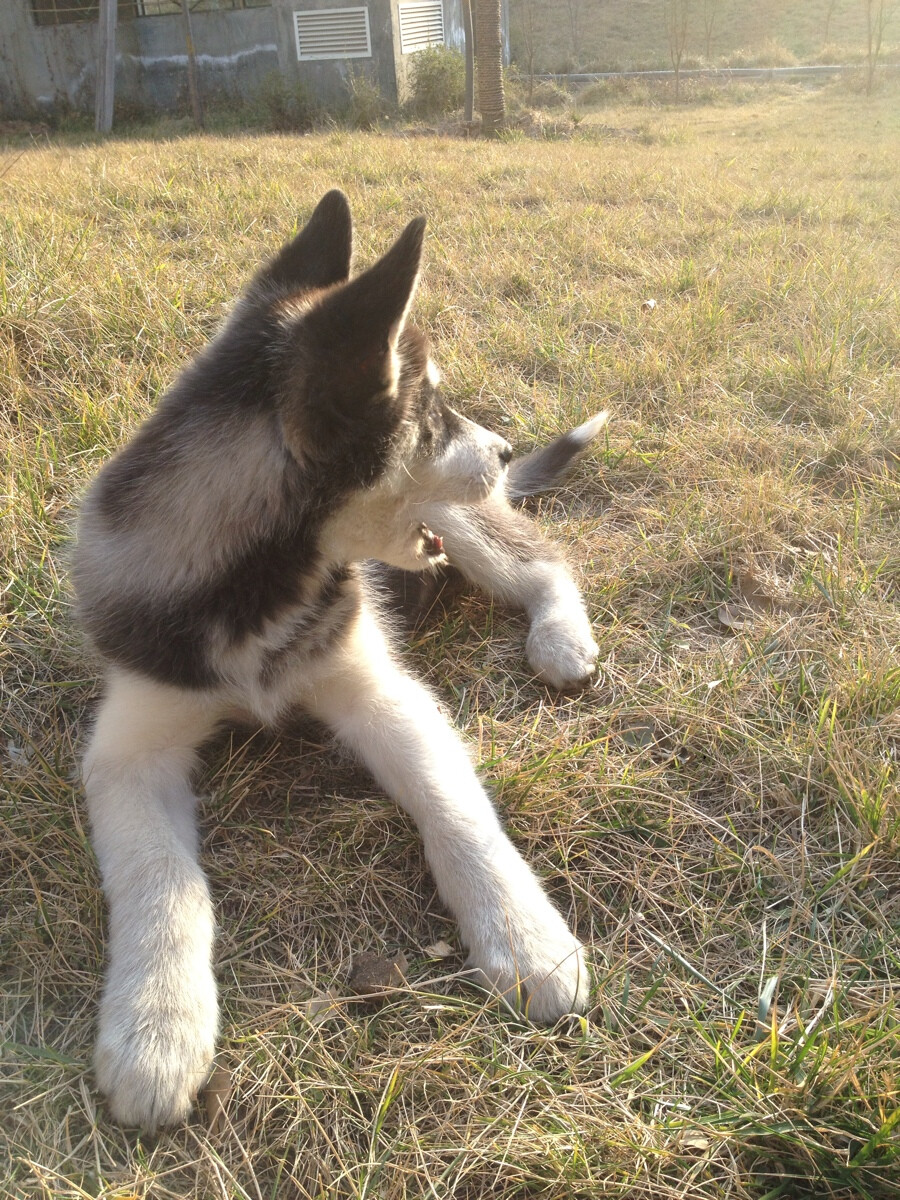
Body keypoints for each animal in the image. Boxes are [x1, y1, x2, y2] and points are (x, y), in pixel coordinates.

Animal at [74, 192, 609, 1128]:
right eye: (430, 414)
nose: (504, 448)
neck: (264, 594)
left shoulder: (382, 693)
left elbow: (455, 812)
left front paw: (525, 938)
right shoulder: (130, 746)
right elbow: (161, 878)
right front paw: (157, 1029)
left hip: (460, 519)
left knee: (544, 559)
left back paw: (559, 637)